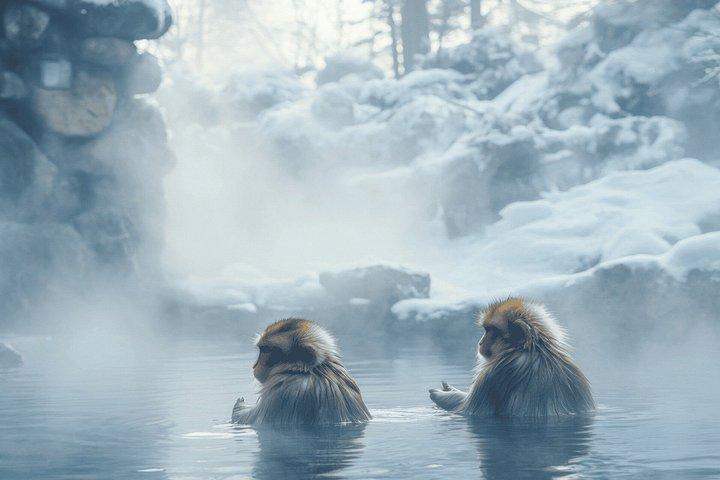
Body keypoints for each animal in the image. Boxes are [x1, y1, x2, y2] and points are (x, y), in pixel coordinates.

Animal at [429, 297, 594, 417]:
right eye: (486, 329)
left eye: (492, 331)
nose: (480, 342)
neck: (534, 351)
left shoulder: (494, 375)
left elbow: (467, 410)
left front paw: (443, 395)